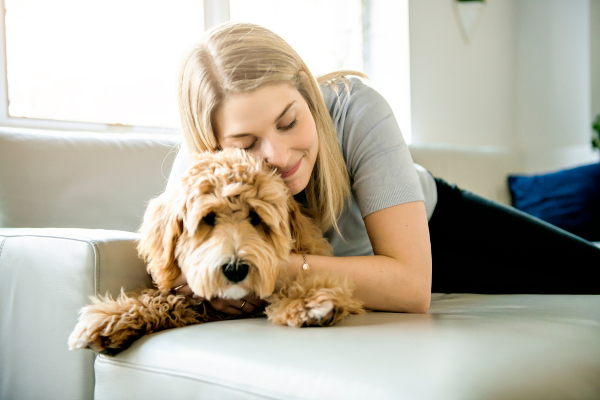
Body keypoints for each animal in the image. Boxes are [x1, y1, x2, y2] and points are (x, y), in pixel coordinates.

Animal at [68, 149, 364, 354]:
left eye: (255, 217)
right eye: (208, 219)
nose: (235, 269)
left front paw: (310, 303)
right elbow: (161, 299)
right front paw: (112, 320)